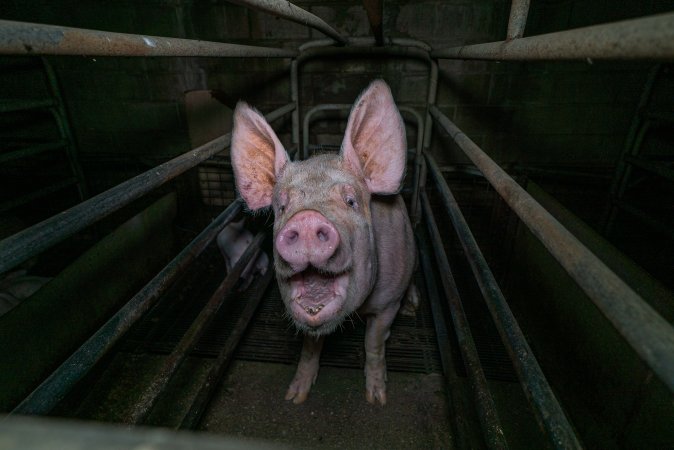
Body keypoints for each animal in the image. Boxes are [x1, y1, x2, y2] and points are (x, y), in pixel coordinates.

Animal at [232, 79, 420, 406]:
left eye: (351, 201)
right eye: (282, 206)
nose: (306, 219)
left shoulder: (387, 304)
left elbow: (374, 343)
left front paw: (377, 398)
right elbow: (310, 347)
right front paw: (295, 396)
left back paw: (413, 306)